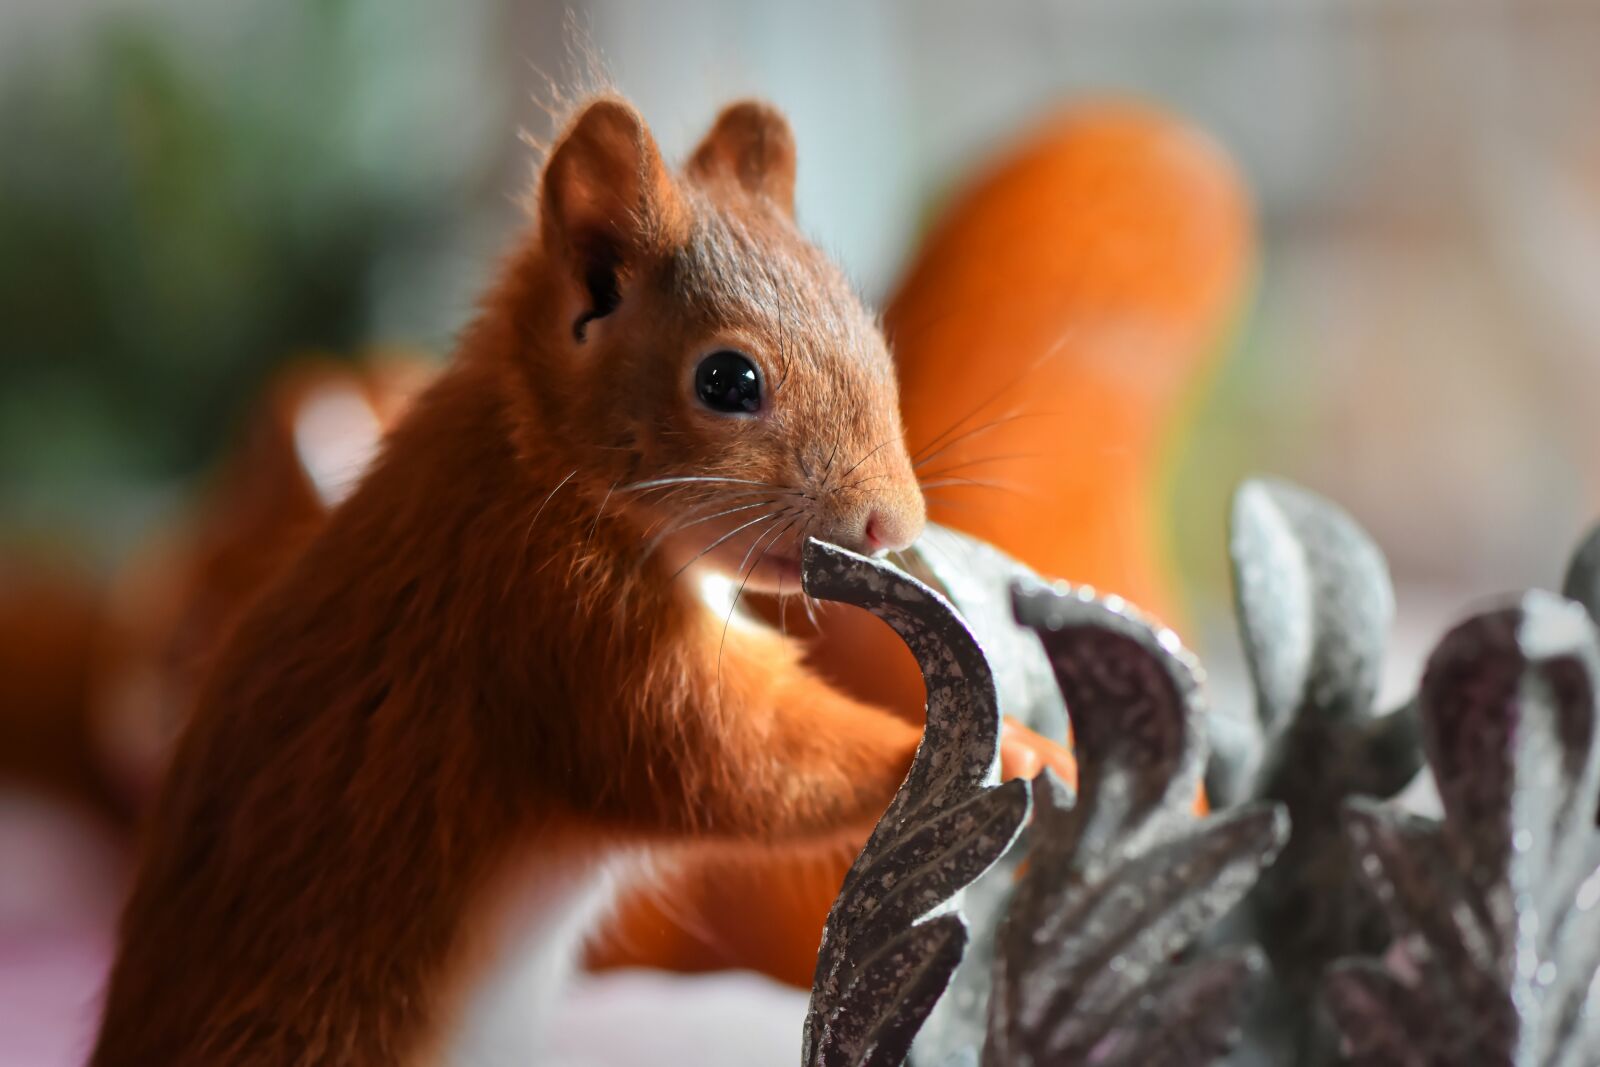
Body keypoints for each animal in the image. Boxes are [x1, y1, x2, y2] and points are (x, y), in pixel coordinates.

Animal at [91, 96, 1055, 1066]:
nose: (896, 522)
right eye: (727, 379)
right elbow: (727, 756)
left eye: (872, 337)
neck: (542, 460)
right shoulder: (560, 624)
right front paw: (1010, 753)